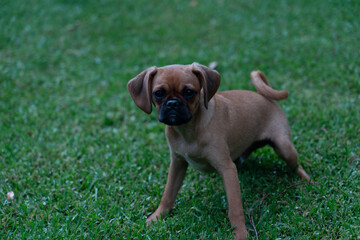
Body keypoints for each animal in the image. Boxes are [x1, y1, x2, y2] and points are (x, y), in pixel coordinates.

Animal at [128, 62, 310, 239]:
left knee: (297, 165)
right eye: (158, 93)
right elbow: (168, 194)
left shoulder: (227, 169)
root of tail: (263, 96)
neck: (188, 130)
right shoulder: (177, 164)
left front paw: (241, 234)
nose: (172, 103)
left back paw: (307, 181)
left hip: (284, 147)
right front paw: (157, 216)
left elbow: (235, 209)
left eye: (189, 92)